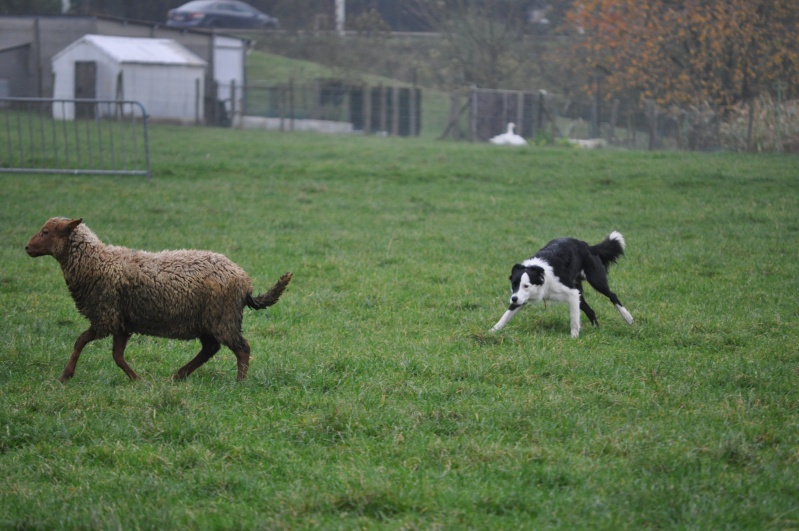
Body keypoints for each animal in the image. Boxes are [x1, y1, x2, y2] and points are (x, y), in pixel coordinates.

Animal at [24, 217, 294, 382]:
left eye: (46, 232)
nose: (27, 248)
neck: (96, 262)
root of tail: (244, 281)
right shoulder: (122, 322)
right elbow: (117, 356)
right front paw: (137, 380)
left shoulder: (105, 317)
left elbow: (80, 341)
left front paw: (65, 376)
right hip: (208, 320)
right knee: (210, 348)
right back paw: (178, 375)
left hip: (222, 318)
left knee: (241, 348)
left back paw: (239, 382)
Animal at [490, 232, 636, 336]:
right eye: (514, 285)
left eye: (526, 286)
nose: (513, 299)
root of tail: (586, 245)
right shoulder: (520, 297)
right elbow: (506, 316)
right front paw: (493, 331)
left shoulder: (571, 293)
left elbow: (574, 317)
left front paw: (574, 336)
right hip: (579, 291)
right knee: (591, 311)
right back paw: (597, 329)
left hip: (596, 280)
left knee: (612, 296)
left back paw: (628, 318)